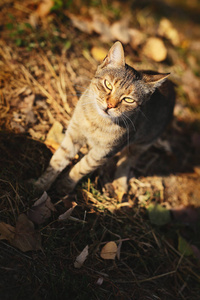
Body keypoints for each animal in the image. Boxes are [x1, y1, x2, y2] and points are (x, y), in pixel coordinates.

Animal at [34, 41, 175, 193]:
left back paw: (120, 184)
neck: (96, 121)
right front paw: (40, 185)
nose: (110, 105)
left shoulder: (104, 152)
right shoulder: (74, 134)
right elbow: (58, 159)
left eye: (128, 100)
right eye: (108, 85)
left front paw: (64, 186)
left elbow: (81, 168)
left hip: (141, 144)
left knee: (127, 161)